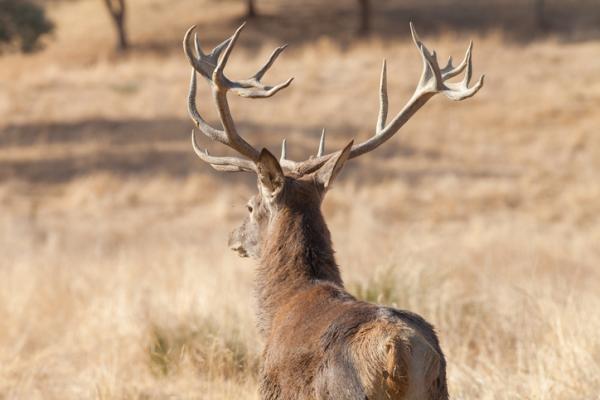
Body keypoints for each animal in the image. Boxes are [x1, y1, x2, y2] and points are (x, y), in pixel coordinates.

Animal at [182, 22, 482, 400]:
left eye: (250, 206)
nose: (231, 236)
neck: (279, 308)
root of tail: (397, 350)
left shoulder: (271, 387)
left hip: (343, 392)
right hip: (439, 387)